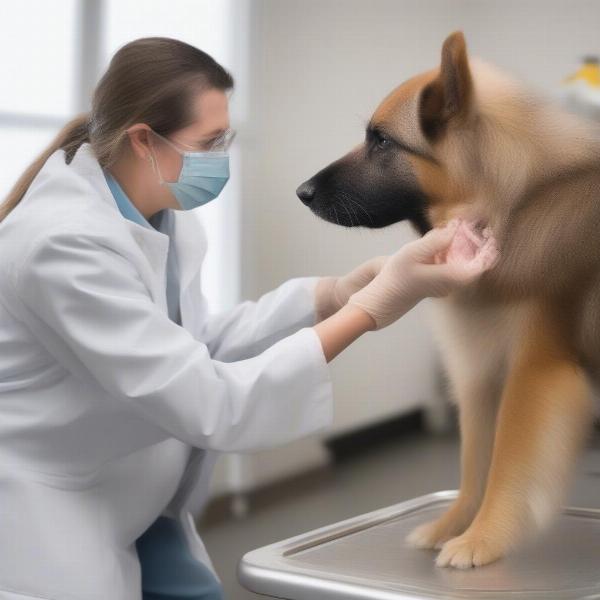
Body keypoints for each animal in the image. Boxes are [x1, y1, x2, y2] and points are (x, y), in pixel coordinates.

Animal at [298, 31, 600, 568]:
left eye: (382, 140)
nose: (302, 191)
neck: (517, 203)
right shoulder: (481, 367)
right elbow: (476, 460)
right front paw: (456, 524)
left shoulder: (533, 368)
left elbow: (507, 461)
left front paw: (484, 537)